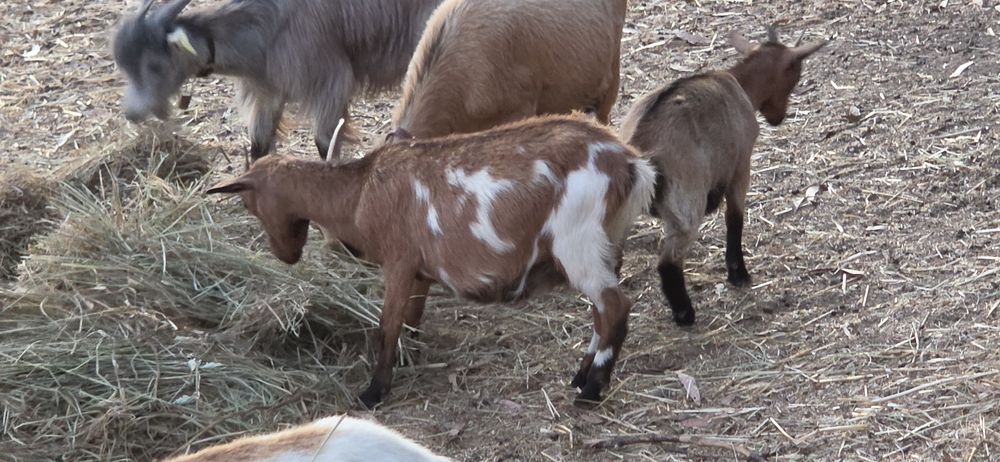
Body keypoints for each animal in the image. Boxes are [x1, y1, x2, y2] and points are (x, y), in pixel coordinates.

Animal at [112, 0, 443, 161]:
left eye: (154, 65)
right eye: (124, 66)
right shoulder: (268, 91)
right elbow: (259, 144)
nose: (132, 113)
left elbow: (325, 143)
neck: (266, 28)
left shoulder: (330, 83)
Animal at [207, 114, 656, 408]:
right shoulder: (421, 272)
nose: (287, 255)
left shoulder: (399, 261)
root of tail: (628, 163)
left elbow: (387, 325)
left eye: (247, 204)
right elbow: (410, 319)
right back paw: (581, 377)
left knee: (615, 307)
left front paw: (372, 393)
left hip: (577, 240)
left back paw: (591, 391)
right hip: (605, 242)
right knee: (601, 313)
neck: (359, 191)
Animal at [620, 28, 826, 326]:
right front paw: (738, 273)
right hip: (686, 203)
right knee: (669, 261)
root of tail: (640, 145)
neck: (739, 83)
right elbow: (735, 218)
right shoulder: (740, 166)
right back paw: (684, 313)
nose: (778, 118)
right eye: (795, 75)